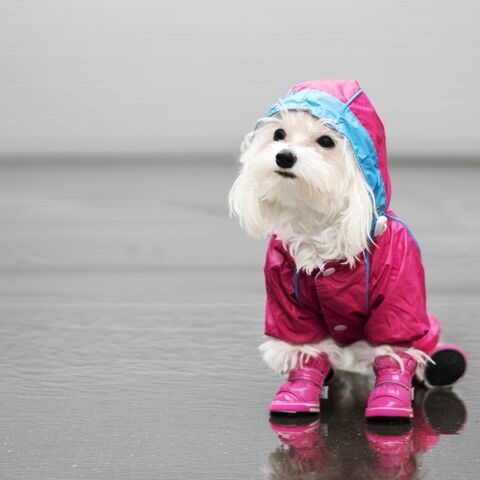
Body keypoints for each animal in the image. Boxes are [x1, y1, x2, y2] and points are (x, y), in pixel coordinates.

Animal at [229, 80, 464, 418]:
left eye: (326, 141)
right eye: (279, 134)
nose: (284, 157)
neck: (317, 219)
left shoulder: (399, 295)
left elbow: (393, 350)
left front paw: (391, 397)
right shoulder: (285, 294)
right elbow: (304, 349)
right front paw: (299, 389)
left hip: (422, 324)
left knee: (428, 345)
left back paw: (443, 363)